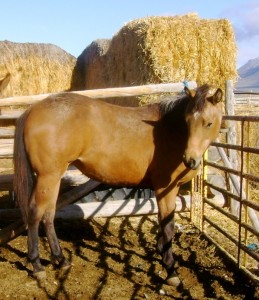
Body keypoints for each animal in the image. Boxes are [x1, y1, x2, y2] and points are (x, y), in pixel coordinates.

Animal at [13, 84, 223, 286]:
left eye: (208, 123)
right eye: (187, 122)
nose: (190, 160)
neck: (168, 130)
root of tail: (32, 110)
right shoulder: (166, 189)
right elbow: (168, 225)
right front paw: (171, 270)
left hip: (54, 177)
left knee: (48, 215)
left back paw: (61, 259)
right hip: (47, 177)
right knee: (35, 213)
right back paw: (37, 265)